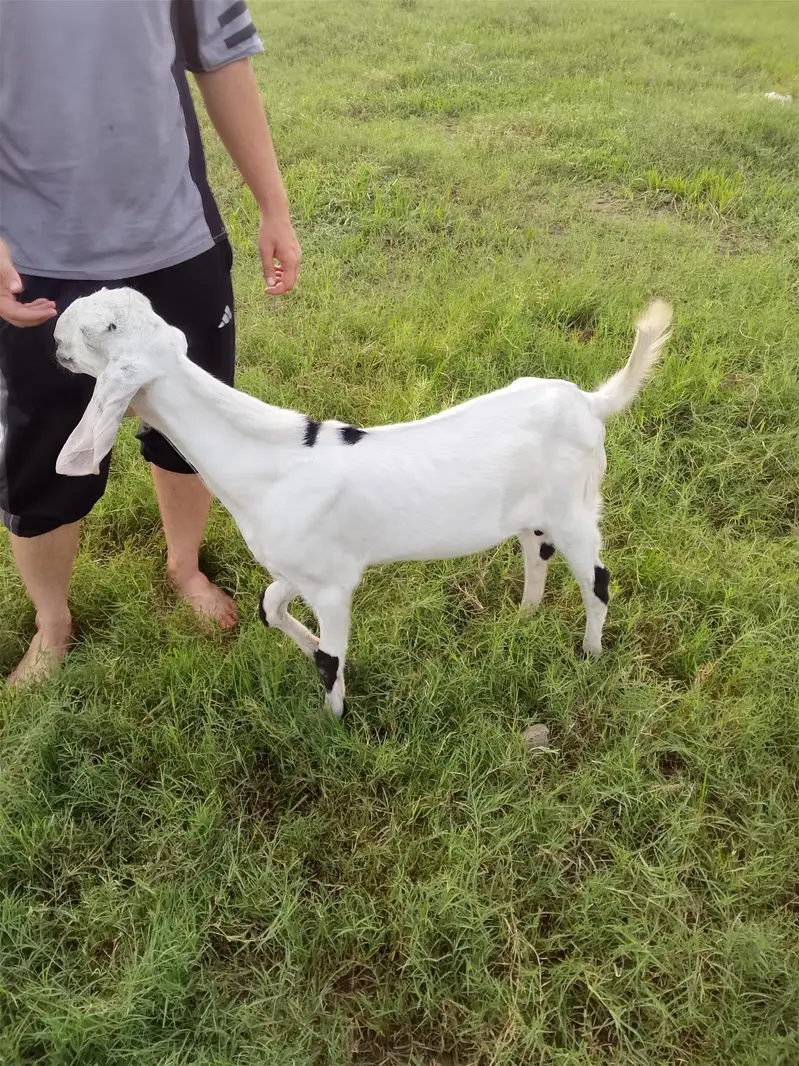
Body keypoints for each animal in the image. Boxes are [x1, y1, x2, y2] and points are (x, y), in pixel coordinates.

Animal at [54, 289, 672, 718]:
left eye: (99, 330)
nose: (55, 334)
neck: (270, 462)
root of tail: (590, 402)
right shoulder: (298, 566)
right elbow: (268, 607)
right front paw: (305, 649)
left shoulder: (332, 585)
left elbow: (333, 659)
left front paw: (332, 724)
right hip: (532, 511)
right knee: (534, 551)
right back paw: (523, 618)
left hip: (575, 508)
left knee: (597, 578)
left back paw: (589, 654)